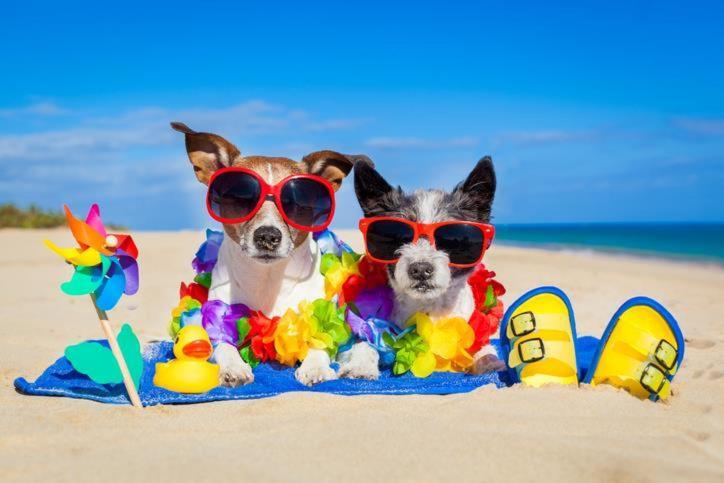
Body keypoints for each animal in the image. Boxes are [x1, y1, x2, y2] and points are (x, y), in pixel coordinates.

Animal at [173, 123, 370, 388]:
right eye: (239, 199)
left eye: (297, 203)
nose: (267, 235)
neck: (268, 280)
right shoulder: (218, 323)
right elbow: (222, 346)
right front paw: (234, 367)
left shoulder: (323, 324)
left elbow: (320, 341)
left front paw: (315, 367)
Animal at [354, 159, 506, 374]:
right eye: (397, 236)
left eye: (452, 239)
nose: (420, 269)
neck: (429, 308)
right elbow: (366, 343)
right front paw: (360, 365)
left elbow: (484, 350)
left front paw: (488, 361)